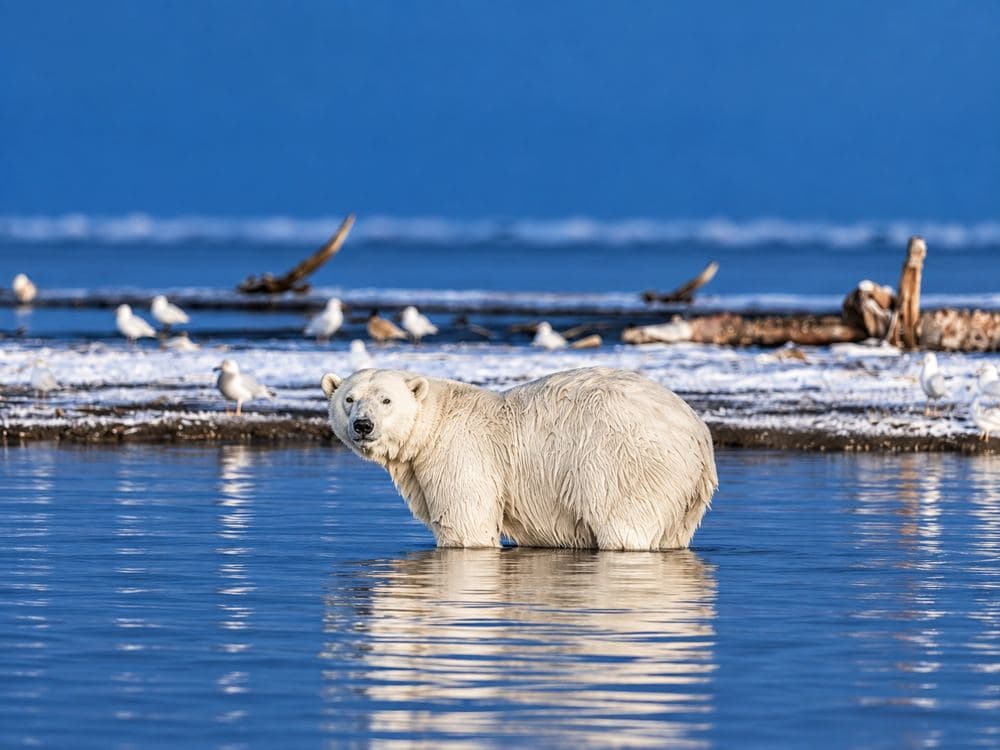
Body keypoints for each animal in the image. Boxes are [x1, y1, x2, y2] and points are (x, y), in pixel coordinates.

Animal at [320, 367, 718, 551]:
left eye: (386, 399)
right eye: (349, 398)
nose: (363, 425)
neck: (435, 421)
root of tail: (698, 432)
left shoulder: (461, 453)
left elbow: (466, 525)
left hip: (627, 461)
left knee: (623, 525)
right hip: (685, 493)